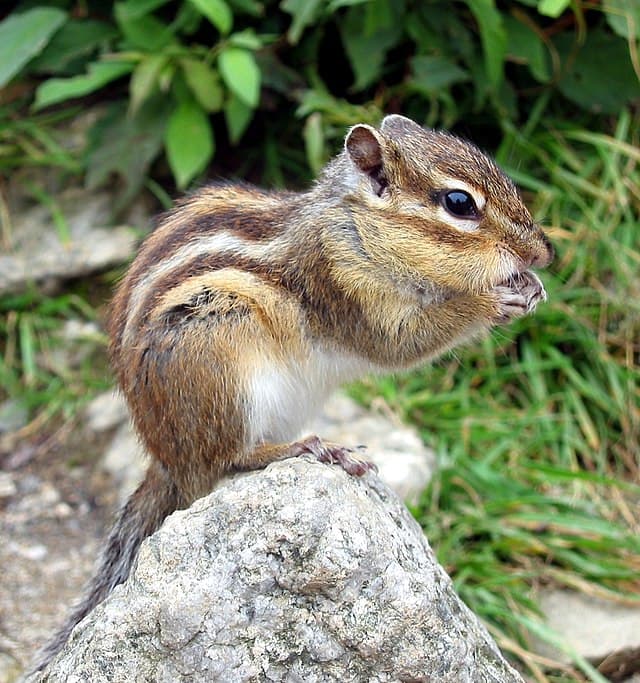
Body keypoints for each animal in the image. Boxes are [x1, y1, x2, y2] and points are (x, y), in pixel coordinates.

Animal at [36, 114, 553, 668]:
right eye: (459, 203)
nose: (545, 251)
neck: (356, 230)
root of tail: (166, 459)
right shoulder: (341, 286)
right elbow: (402, 342)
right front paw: (493, 300)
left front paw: (531, 286)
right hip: (221, 361)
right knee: (228, 460)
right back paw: (311, 449)